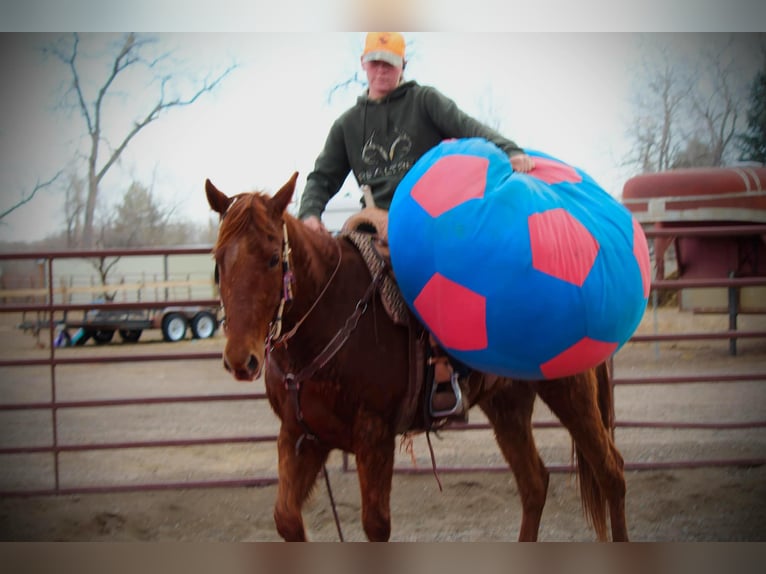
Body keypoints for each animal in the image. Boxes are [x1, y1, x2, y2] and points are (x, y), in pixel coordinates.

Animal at [205, 173, 628, 542]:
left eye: (273, 258)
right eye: (218, 260)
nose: (241, 359)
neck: (333, 313)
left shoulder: (374, 435)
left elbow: (376, 526)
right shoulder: (300, 434)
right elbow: (287, 519)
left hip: (571, 391)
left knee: (611, 472)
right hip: (507, 405)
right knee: (535, 483)